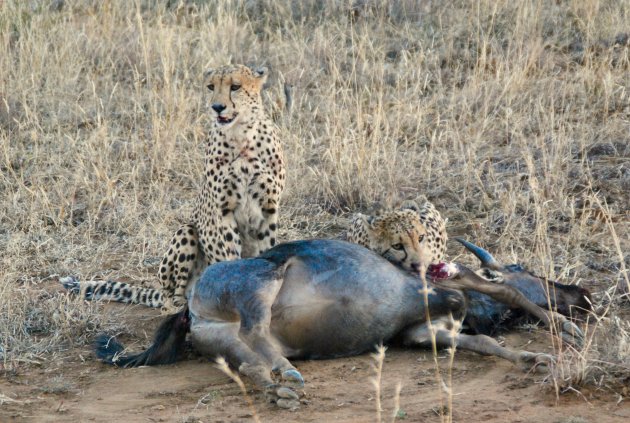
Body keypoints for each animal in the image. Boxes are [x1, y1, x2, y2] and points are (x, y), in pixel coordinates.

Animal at [62, 64, 286, 314]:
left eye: (235, 86)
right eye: (211, 87)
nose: (217, 107)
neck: (242, 136)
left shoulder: (269, 207)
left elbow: (268, 252)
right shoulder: (223, 211)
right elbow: (230, 256)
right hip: (185, 232)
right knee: (171, 295)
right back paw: (181, 306)